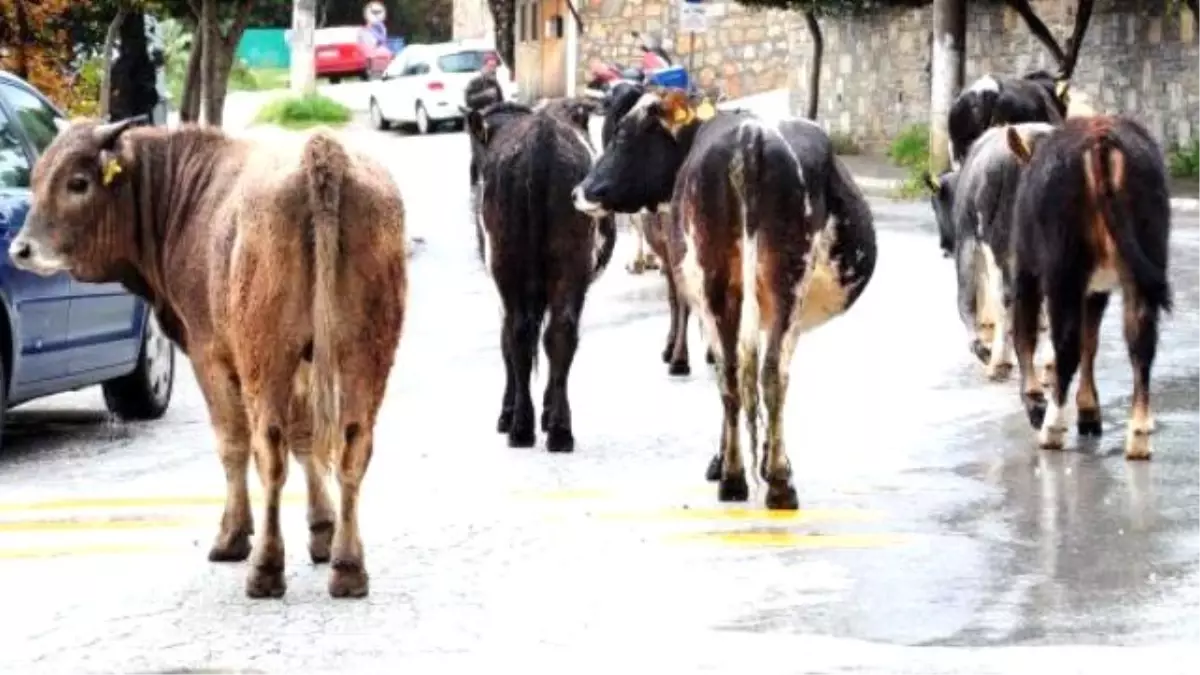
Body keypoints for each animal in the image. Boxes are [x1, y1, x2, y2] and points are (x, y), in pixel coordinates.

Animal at [4, 118, 410, 595]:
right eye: (35, 178)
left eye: (78, 182)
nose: (21, 249)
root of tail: (322, 151)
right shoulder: (305, 365)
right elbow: (305, 437)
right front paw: (322, 531)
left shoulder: (209, 355)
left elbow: (234, 443)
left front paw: (233, 535)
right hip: (363, 355)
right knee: (352, 444)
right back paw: (348, 566)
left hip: (266, 356)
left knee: (268, 449)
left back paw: (265, 567)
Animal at [468, 98, 619, 451]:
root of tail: (541, 139)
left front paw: (509, 412)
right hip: (565, 264)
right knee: (552, 332)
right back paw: (553, 429)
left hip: (515, 264)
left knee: (524, 334)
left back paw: (530, 426)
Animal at [1003, 115, 1171, 458]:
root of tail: (1101, 138)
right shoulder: (1096, 289)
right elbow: (1090, 341)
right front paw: (1089, 412)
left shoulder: (1025, 269)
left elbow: (1026, 332)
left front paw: (1034, 402)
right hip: (1143, 260)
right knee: (1141, 340)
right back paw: (1138, 435)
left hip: (1063, 269)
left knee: (1066, 344)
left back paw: (1052, 427)